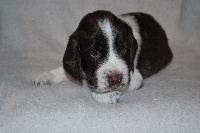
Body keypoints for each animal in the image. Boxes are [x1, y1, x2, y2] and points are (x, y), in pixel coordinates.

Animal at [32, 10, 173, 104]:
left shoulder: (134, 77)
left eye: (123, 49)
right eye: (94, 53)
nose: (116, 79)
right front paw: (46, 76)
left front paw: (107, 94)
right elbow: (67, 70)